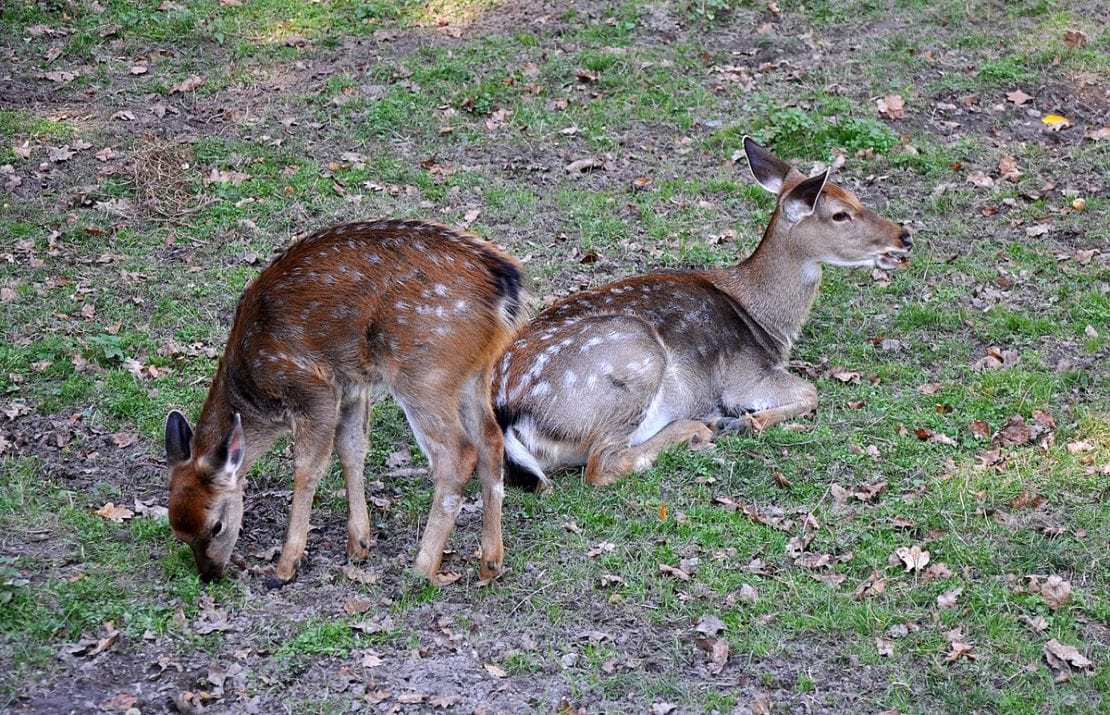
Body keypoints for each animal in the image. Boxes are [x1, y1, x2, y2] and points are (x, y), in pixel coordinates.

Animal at [165, 218, 528, 586]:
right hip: (472, 374)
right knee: (490, 439)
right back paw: (490, 564)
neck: (252, 385)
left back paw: (422, 568)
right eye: (178, 534)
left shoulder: (312, 388)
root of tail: (505, 284)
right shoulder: (351, 386)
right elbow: (351, 448)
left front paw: (285, 566)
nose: (210, 574)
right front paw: (359, 545)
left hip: (425, 372)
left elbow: (308, 467)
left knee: (457, 454)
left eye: (216, 526)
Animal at [495, 136, 910, 488]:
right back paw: (699, 427)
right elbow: (811, 392)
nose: (903, 236)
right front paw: (746, 422)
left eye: (855, 196)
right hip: (633, 354)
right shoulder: (745, 375)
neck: (767, 323)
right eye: (840, 214)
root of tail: (510, 414)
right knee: (603, 465)